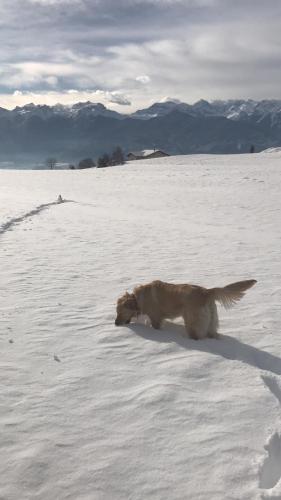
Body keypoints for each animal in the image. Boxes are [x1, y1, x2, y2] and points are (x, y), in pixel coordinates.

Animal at [114, 278, 256, 340]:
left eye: (120, 312)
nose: (115, 324)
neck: (137, 299)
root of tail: (206, 292)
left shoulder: (156, 318)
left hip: (192, 323)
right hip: (211, 322)